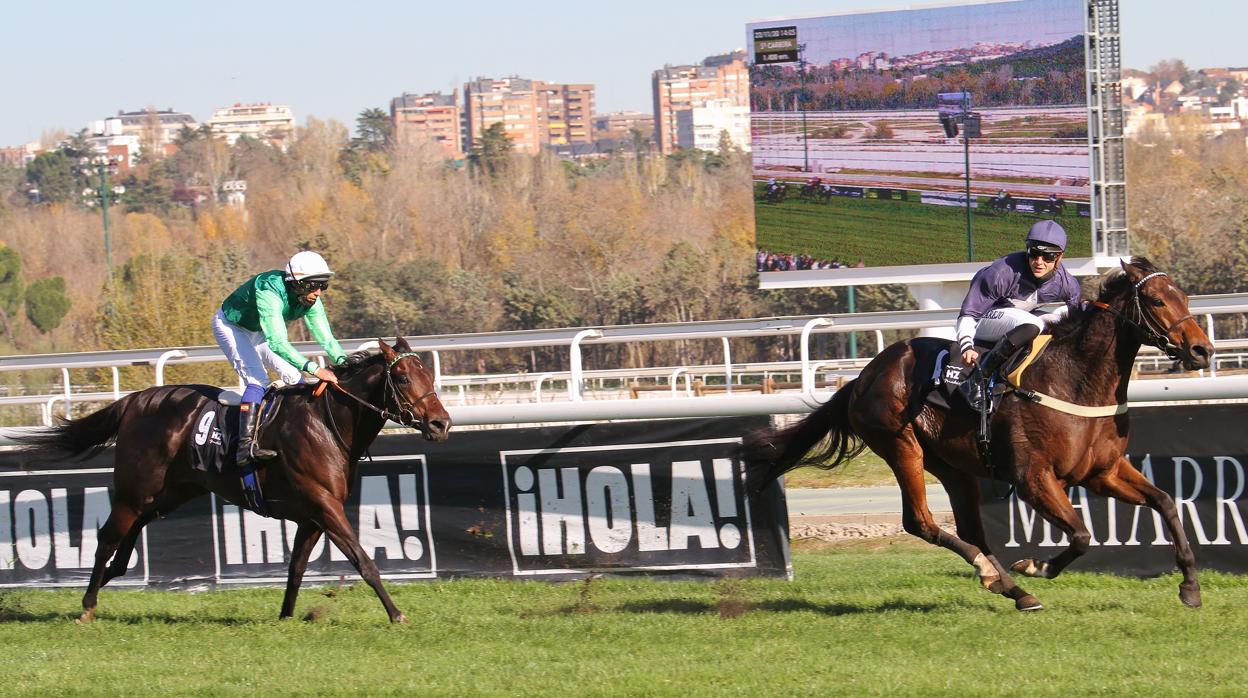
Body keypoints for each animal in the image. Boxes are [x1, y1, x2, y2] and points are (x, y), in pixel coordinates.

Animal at [17, 337, 451, 621]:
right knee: (107, 538)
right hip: (134, 489)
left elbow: (296, 567)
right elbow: (363, 560)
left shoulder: (312, 516)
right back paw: (88, 605)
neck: (327, 423)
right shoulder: (325, 506)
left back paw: (111, 576)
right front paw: (396, 614)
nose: (441, 423)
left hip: (172, 491)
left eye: (429, 374)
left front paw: (287, 617)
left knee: (133, 529)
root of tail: (134, 401)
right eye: (403, 379)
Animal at [743, 258, 1213, 611]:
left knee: (971, 529)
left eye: (1186, 297)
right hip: (901, 446)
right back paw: (996, 575)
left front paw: (1190, 586)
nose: (1202, 350)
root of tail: (863, 376)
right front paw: (1036, 566)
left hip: (954, 466)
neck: (1074, 379)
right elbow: (1081, 535)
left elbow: (1166, 502)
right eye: (1156, 299)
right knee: (921, 522)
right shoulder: (1034, 479)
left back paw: (1013, 589)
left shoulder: (1103, 472)